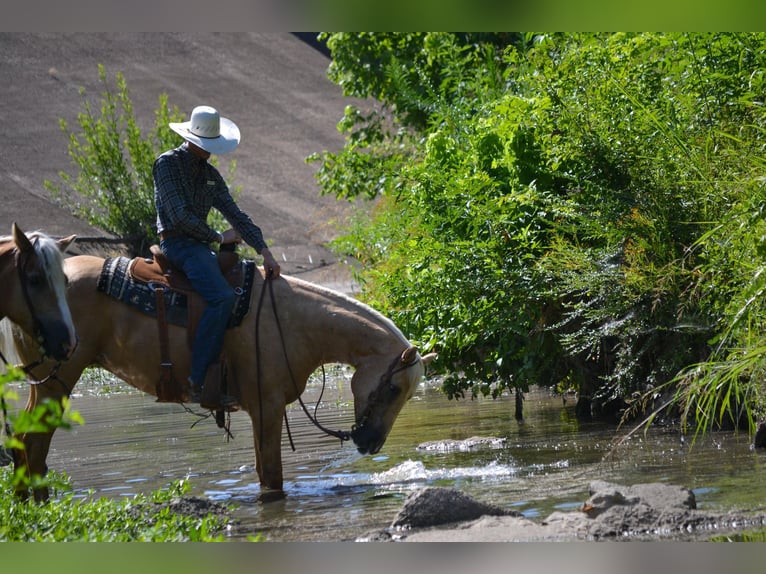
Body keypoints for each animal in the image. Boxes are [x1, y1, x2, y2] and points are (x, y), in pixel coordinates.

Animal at [6, 251, 436, 500]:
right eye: (393, 387)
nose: (371, 443)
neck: (292, 322)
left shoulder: (264, 409)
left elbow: (264, 472)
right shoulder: (266, 407)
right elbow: (272, 476)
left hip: (44, 385)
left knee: (24, 446)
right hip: (57, 382)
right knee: (33, 446)